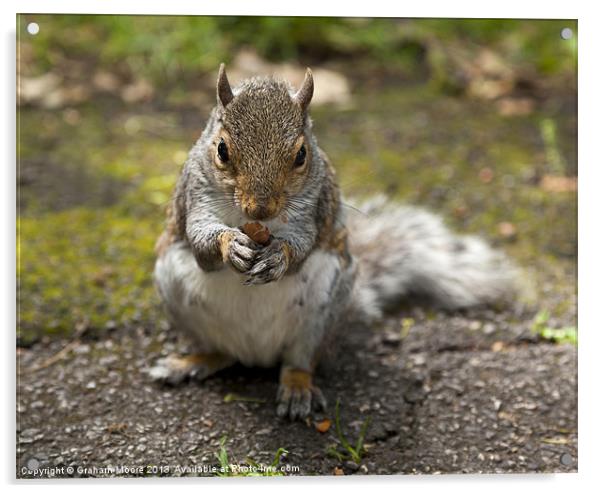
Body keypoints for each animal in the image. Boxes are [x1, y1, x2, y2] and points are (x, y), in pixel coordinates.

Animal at [150, 64, 516, 418]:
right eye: (222, 150)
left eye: (301, 155)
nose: (261, 208)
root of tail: (256, 353)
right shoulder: (196, 197)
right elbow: (201, 239)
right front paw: (232, 245)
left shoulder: (312, 209)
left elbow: (301, 243)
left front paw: (279, 257)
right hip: (177, 292)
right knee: (221, 353)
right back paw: (190, 362)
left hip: (322, 310)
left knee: (299, 361)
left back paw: (297, 388)